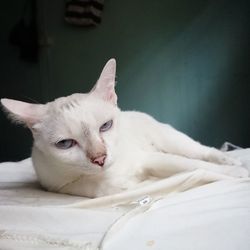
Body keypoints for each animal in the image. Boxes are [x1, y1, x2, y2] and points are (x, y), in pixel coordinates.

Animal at [0, 58, 246, 197]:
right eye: (65, 144)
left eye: (106, 126)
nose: (99, 158)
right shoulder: (57, 185)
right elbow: (98, 189)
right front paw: (131, 183)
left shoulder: (151, 158)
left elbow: (197, 167)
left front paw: (237, 173)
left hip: (172, 141)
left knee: (201, 152)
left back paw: (230, 160)